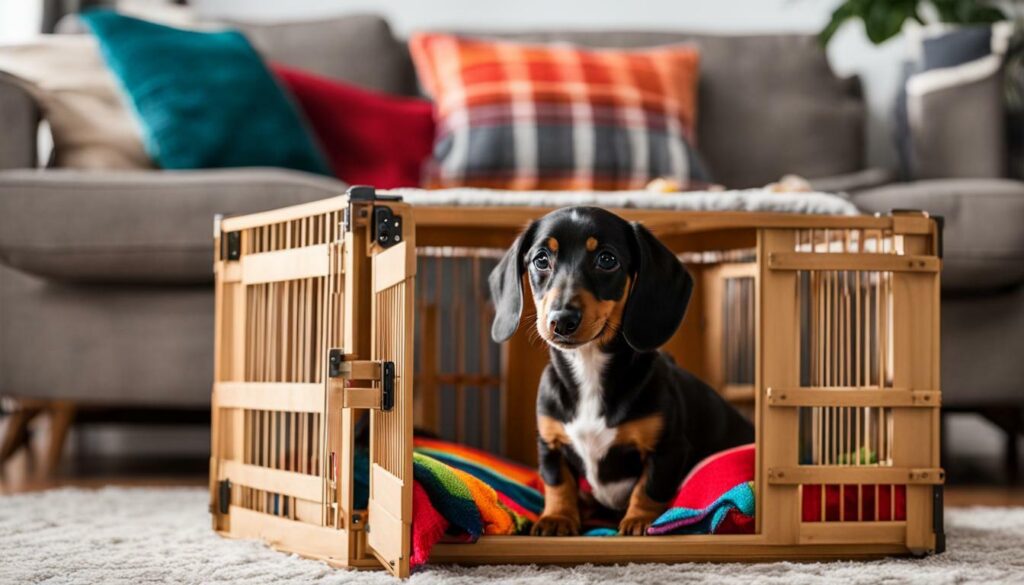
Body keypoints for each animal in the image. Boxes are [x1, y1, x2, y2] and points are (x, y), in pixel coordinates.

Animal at [487, 205, 753, 536]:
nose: (561, 320)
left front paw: (639, 520)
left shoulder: (667, 448)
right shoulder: (549, 444)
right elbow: (558, 482)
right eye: (541, 260)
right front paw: (558, 517)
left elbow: (649, 487)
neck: (588, 368)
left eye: (607, 259)